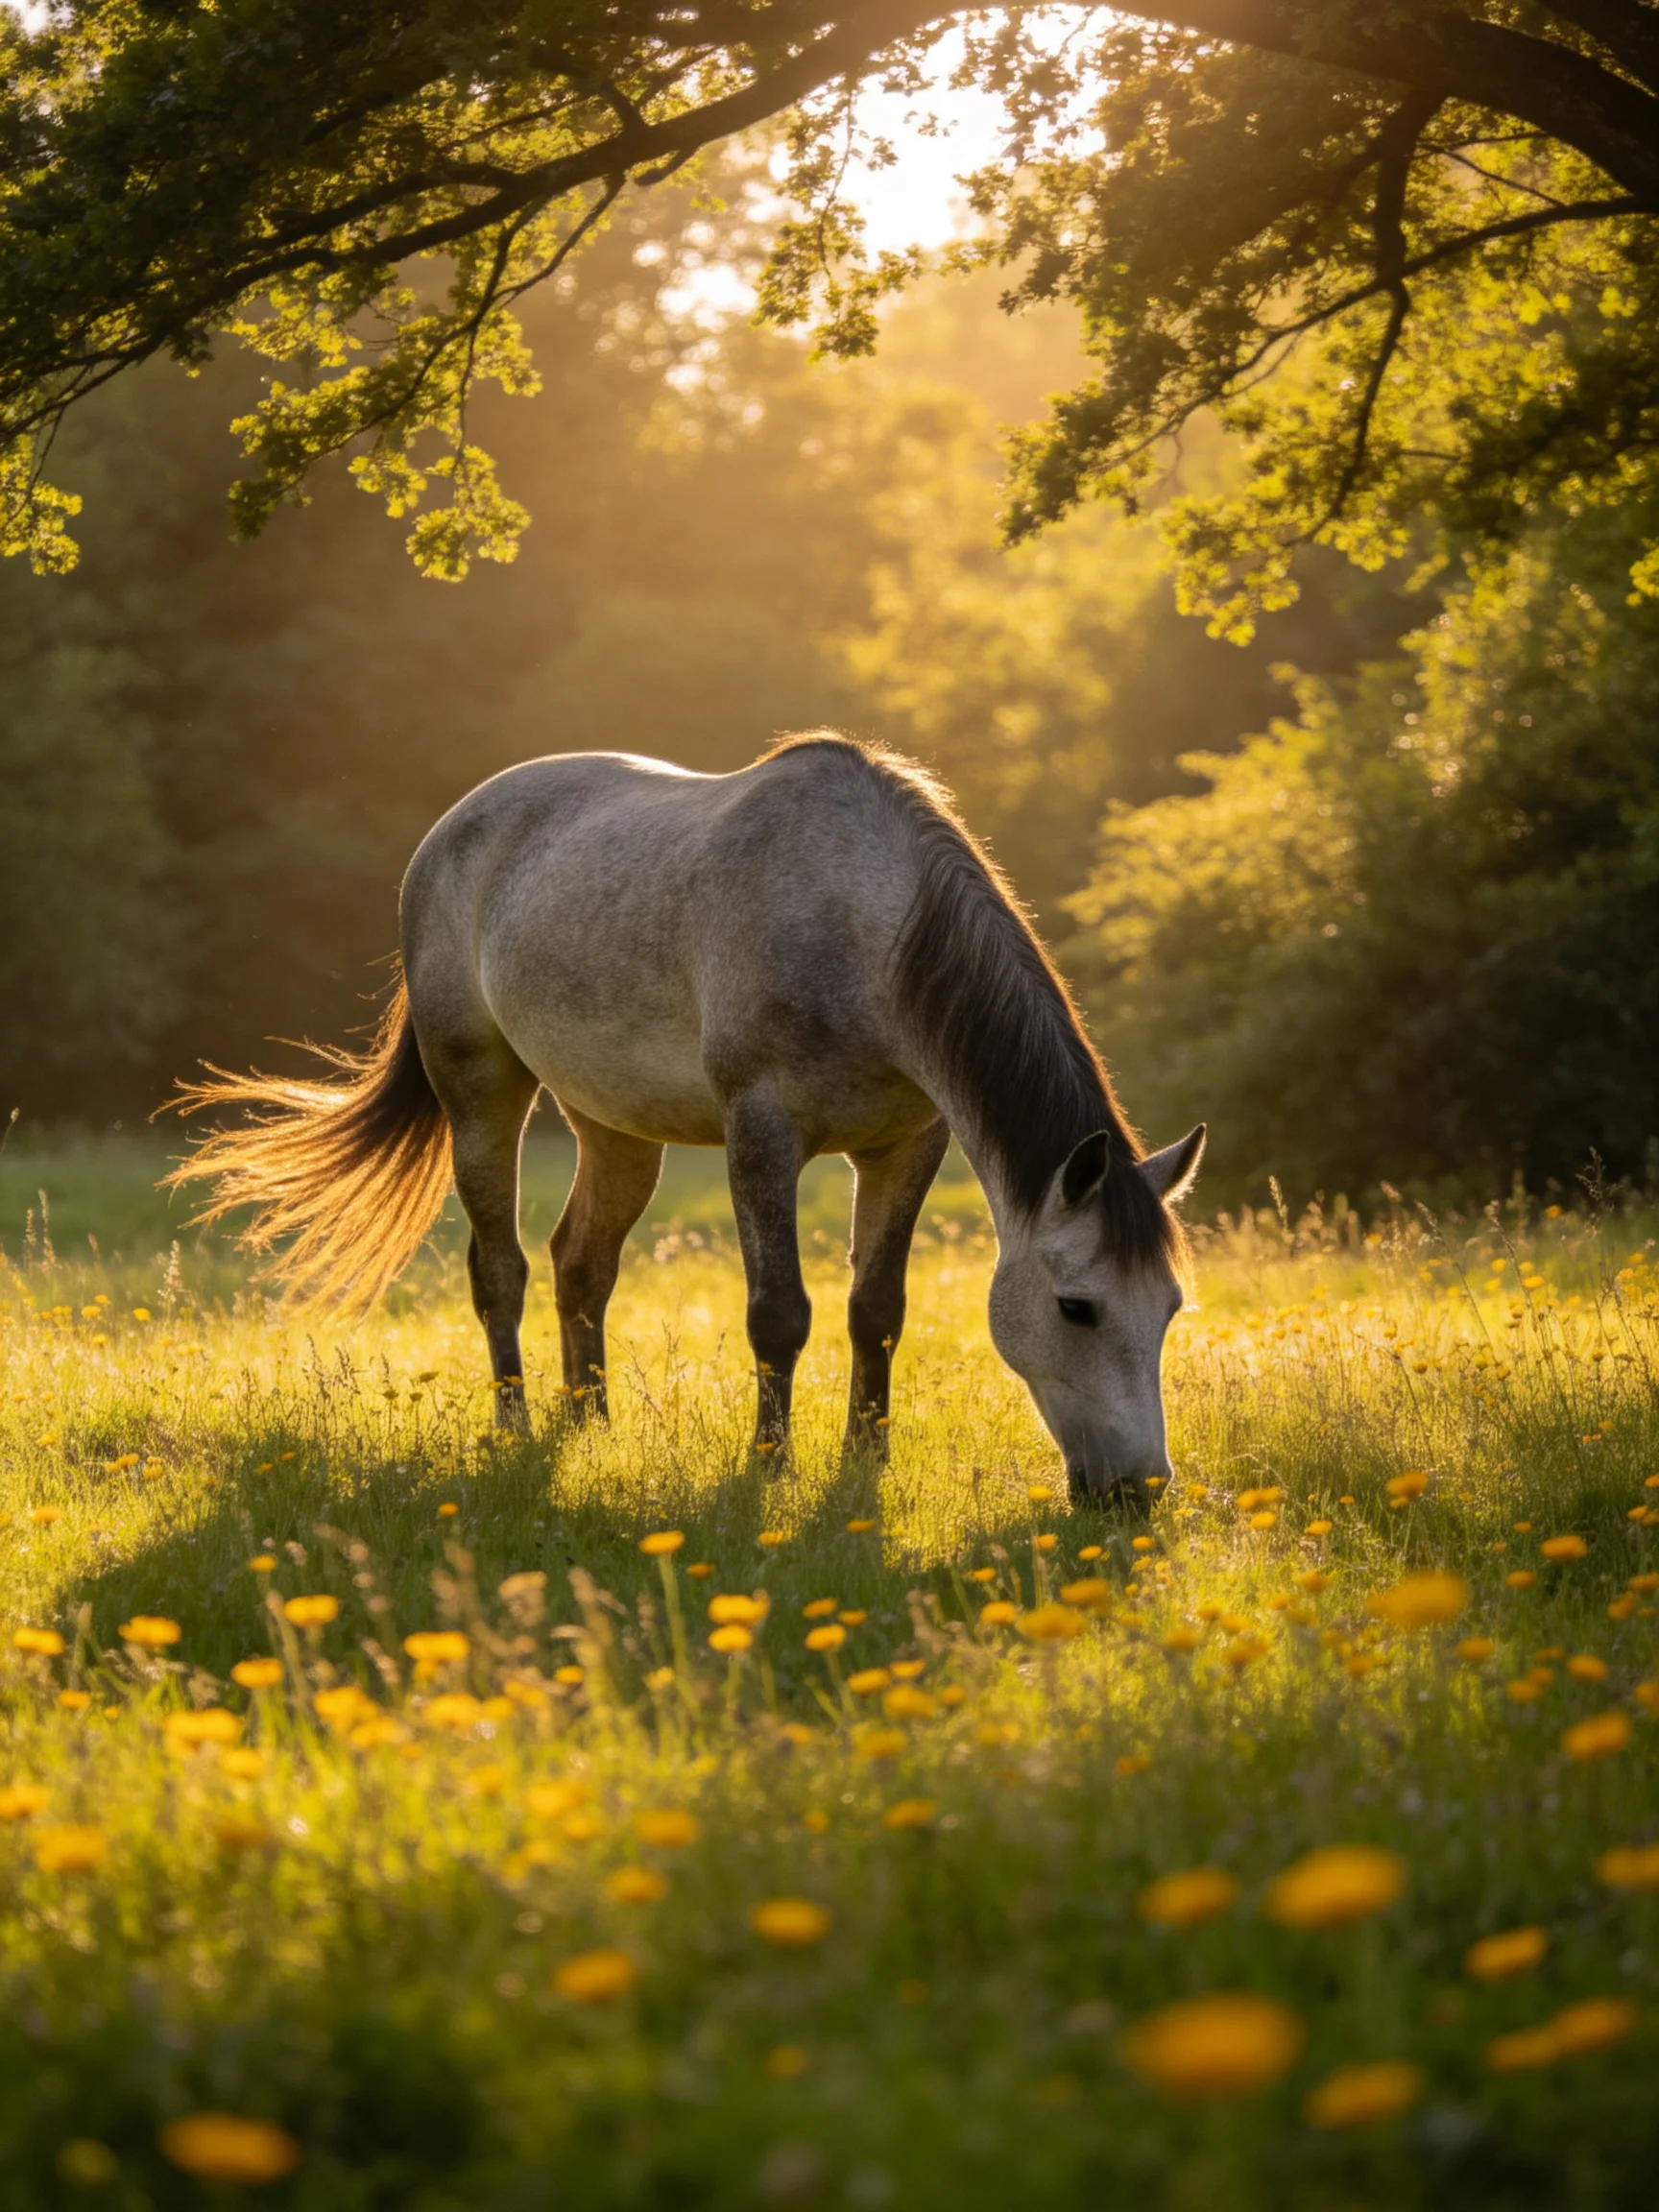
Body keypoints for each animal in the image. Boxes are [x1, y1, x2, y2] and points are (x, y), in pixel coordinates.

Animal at [171, 735, 1204, 1507]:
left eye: (1170, 1308)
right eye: (1077, 1307)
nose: (1138, 1492)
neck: (862, 925)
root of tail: (452, 829)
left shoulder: (906, 1144)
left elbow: (876, 1310)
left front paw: (865, 1461)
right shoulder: (763, 1133)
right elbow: (779, 1314)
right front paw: (771, 1468)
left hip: (616, 1130)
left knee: (579, 1264)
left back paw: (589, 1424)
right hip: (482, 1092)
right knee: (500, 1269)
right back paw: (514, 1427)